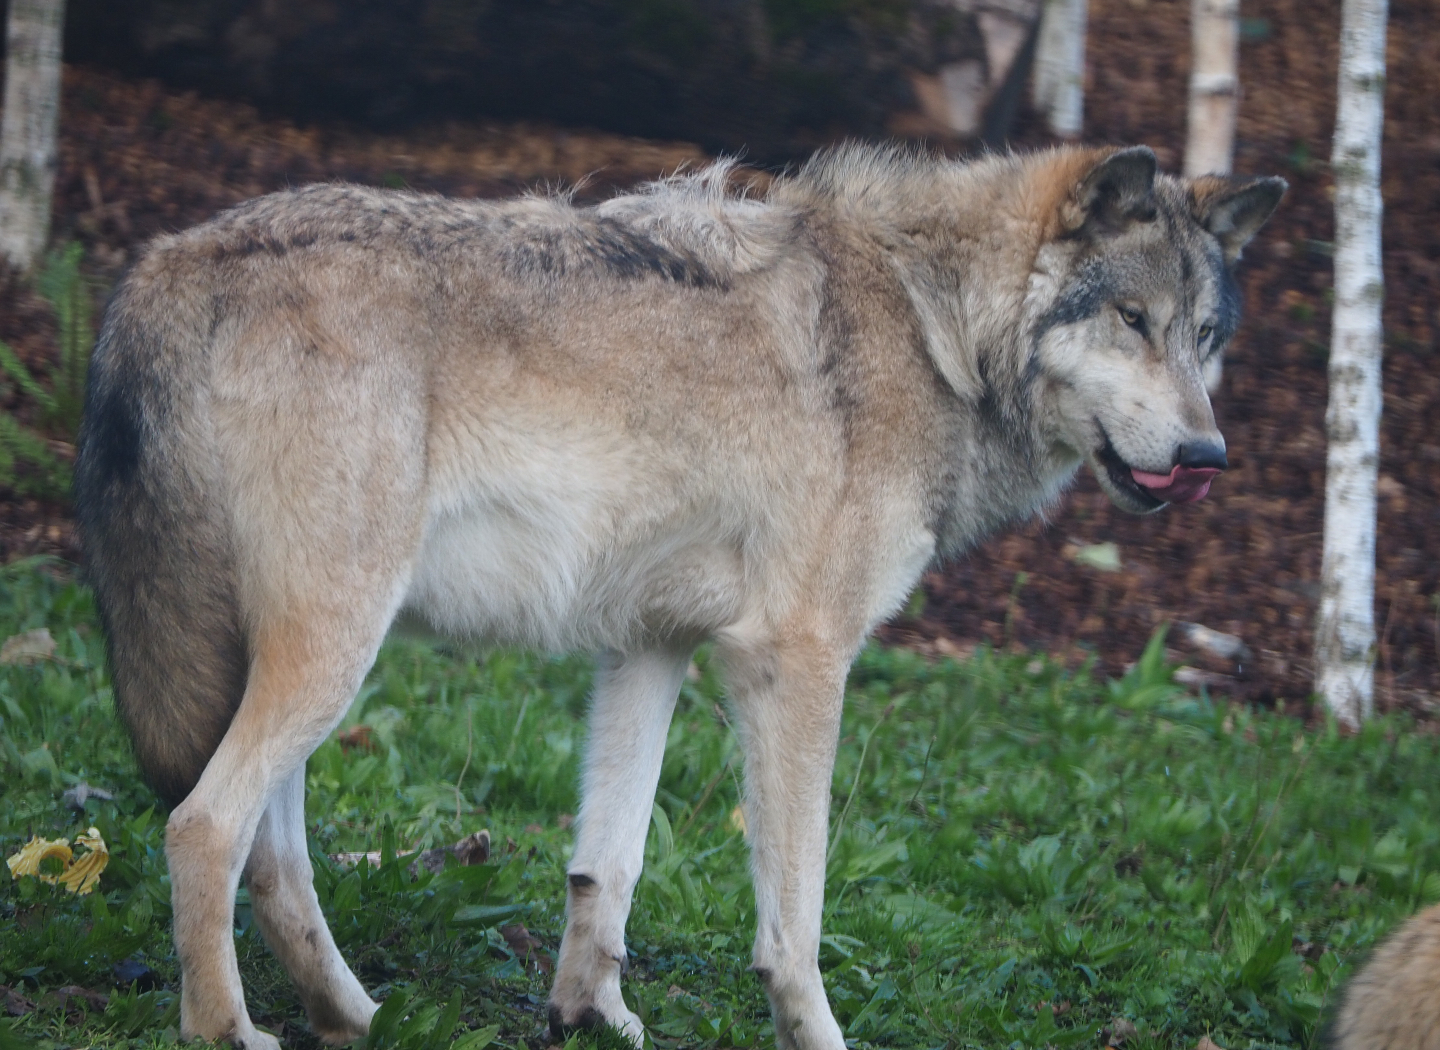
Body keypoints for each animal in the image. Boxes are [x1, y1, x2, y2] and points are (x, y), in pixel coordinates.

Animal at [73, 143, 1282, 1049]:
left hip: (306, 655)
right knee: (203, 826)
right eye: (1132, 320)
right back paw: (228, 1030)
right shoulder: (794, 661)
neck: (929, 328)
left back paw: (354, 1016)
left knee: (272, 855)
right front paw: (814, 1035)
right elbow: (796, 914)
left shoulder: (650, 644)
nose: (1209, 455)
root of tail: (170, 261)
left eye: (1204, 337)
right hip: (332, 648)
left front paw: (589, 1017)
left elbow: (606, 866)